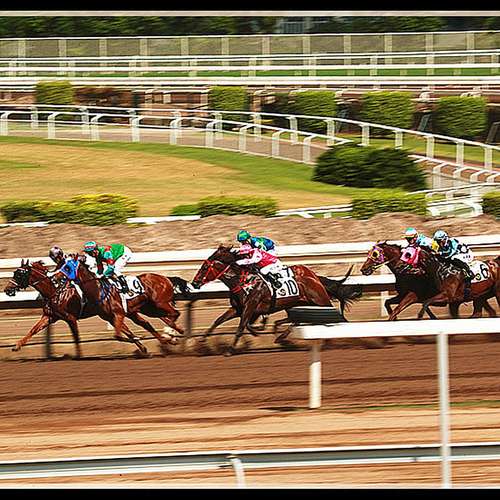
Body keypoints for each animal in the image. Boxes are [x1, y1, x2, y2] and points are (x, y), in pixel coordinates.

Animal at [190, 244, 361, 354]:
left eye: (204, 268)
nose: (194, 283)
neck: (242, 280)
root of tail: (315, 278)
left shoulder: (249, 307)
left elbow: (241, 327)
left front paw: (230, 350)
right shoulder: (237, 309)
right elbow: (219, 320)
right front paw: (202, 343)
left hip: (320, 301)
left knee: (335, 318)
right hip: (298, 303)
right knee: (297, 320)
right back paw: (281, 336)